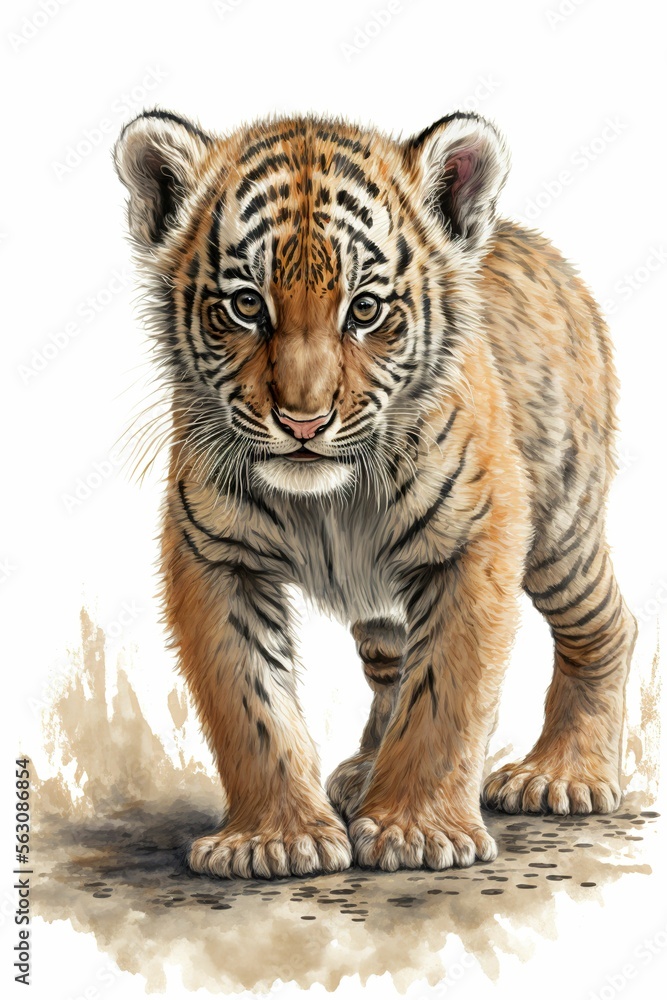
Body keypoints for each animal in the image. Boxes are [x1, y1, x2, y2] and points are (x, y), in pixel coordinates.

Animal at [114, 107, 637, 878]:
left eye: (363, 310)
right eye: (245, 305)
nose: (303, 421)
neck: (329, 502)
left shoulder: (475, 541)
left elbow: (446, 692)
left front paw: (416, 831)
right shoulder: (213, 555)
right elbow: (250, 703)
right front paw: (275, 839)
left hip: (561, 527)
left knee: (604, 624)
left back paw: (563, 775)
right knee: (393, 664)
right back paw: (363, 774)